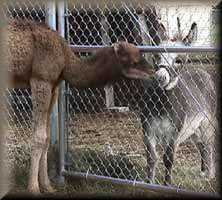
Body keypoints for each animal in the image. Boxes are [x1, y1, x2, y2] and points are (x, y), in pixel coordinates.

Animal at [4, 19, 158, 193]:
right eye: (133, 61)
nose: (152, 71)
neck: (65, 60)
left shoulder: (54, 85)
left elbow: (47, 137)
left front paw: (47, 186)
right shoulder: (41, 79)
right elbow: (39, 137)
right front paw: (33, 188)